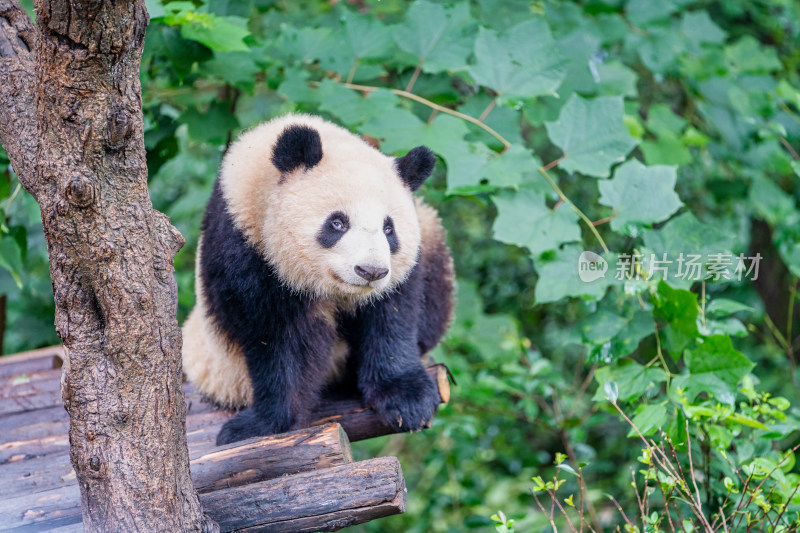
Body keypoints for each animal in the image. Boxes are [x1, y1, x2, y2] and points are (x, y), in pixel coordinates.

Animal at [183, 113, 456, 444]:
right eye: (337, 223)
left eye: (389, 228)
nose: (371, 272)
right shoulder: (246, 249)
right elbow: (279, 340)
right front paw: (262, 424)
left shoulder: (400, 271)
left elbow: (391, 316)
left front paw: (407, 399)